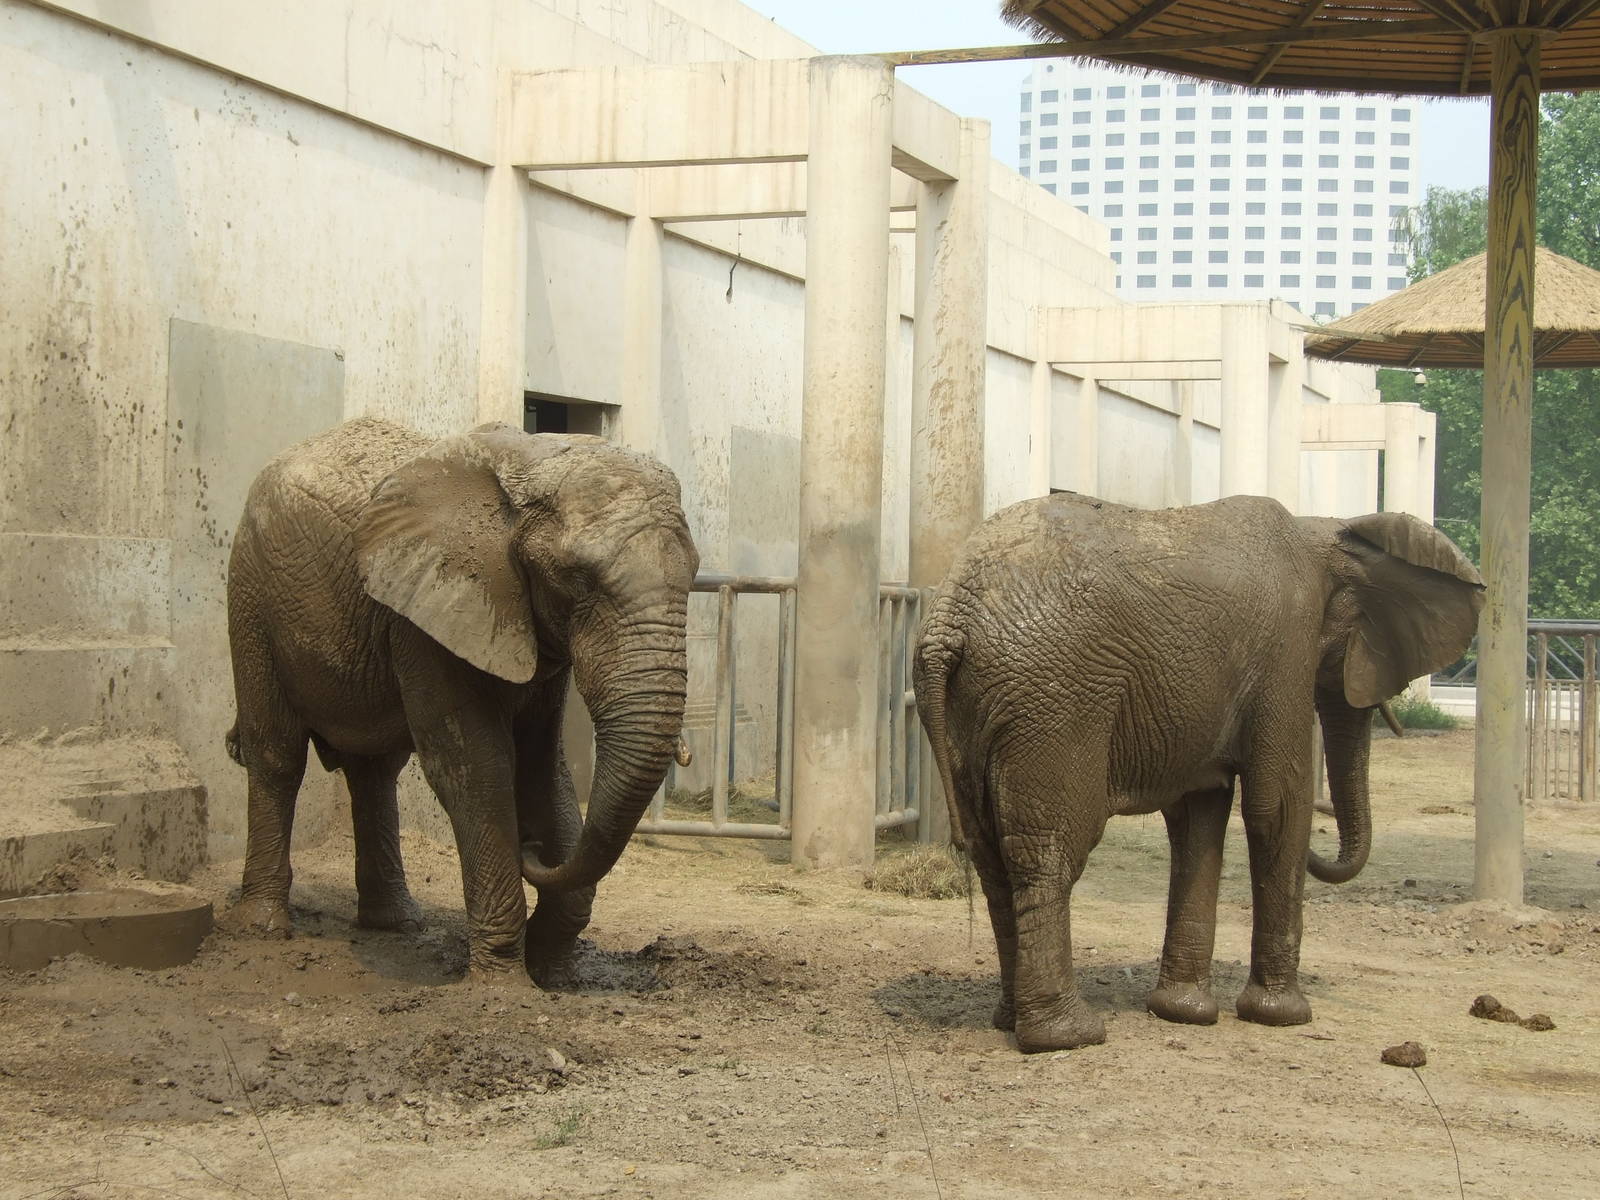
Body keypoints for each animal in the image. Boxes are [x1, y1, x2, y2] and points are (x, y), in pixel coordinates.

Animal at [224, 416, 699, 986]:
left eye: (695, 575)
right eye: (576, 579)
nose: (532, 849)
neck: (526, 464)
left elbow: (544, 768)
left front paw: (554, 974)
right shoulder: (426, 611)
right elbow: (477, 767)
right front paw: (505, 983)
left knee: (374, 771)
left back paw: (395, 923)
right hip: (251, 595)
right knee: (276, 755)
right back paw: (264, 928)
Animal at [914, 492, 1483, 1052]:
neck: (1326, 528)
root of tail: (949, 618)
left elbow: (1199, 814)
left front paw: (1183, 1013)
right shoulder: (1286, 653)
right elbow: (1276, 806)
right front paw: (1283, 1017)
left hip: (976, 706)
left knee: (991, 857)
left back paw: (1010, 1022)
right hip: (1054, 703)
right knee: (1050, 853)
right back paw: (1069, 1037)